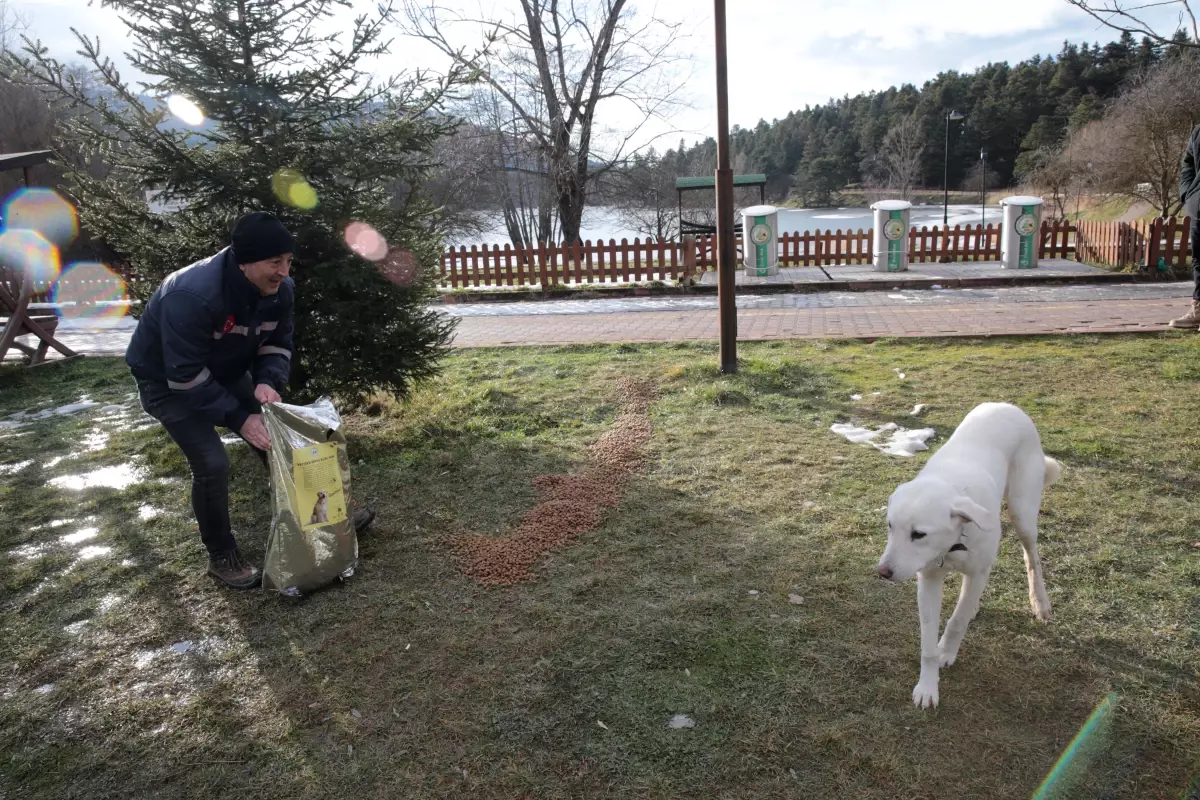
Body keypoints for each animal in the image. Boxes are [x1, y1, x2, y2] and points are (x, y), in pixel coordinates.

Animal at [873, 402, 1060, 710]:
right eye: (890, 526)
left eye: (919, 534)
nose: (883, 572)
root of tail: (1006, 405)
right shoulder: (929, 580)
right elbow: (927, 645)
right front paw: (928, 686)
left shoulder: (977, 571)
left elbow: (956, 621)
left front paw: (948, 652)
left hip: (1023, 514)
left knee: (1031, 557)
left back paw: (1039, 602)